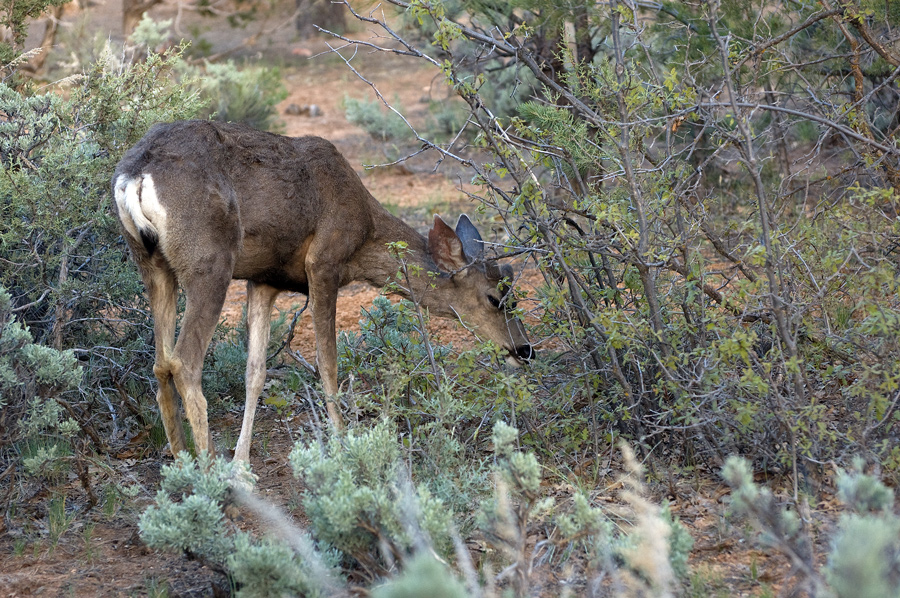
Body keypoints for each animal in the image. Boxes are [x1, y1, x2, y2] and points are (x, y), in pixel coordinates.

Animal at [112, 120, 536, 464]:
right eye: (496, 298)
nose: (525, 350)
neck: (363, 236)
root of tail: (134, 176)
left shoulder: (265, 280)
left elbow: (255, 371)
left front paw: (243, 464)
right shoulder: (324, 262)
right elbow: (327, 360)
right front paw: (343, 439)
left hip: (152, 264)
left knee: (160, 361)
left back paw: (182, 464)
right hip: (210, 260)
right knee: (185, 361)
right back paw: (210, 470)